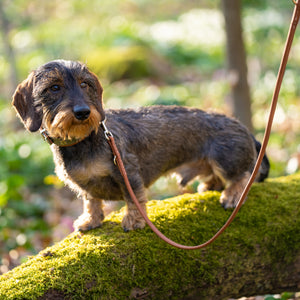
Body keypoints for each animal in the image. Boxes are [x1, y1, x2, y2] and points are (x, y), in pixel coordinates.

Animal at [11, 59, 270, 232]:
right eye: (54, 87)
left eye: (85, 84)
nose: (83, 112)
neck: (83, 139)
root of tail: (243, 127)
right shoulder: (86, 187)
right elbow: (91, 202)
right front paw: (90, 220)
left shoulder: (126, 170)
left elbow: (133, 196)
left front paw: (134, 221)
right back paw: (211, 185)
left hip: (225, 158)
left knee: (242, 177)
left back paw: (232, 196)